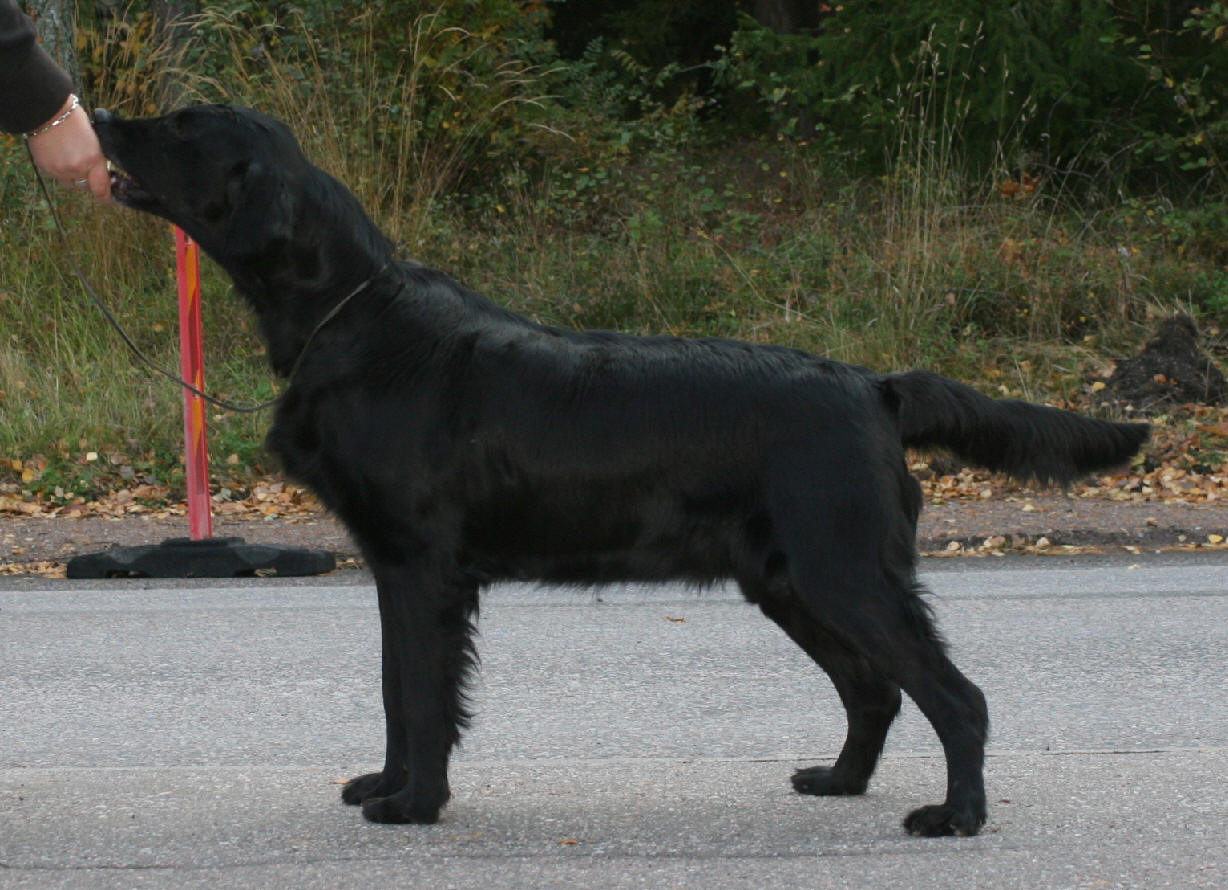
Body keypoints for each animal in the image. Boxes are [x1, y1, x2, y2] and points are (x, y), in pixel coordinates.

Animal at [95, 104, 1149, 834]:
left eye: (183, 124)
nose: (99, 115)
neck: (351, 315)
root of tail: (873, 383)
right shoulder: (396, 568)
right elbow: (397, 691)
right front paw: (387, 785)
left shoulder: (422, 566)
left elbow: (423, 697)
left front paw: (415, 804)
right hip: (790, 580)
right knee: (876, 690)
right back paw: (839, 780)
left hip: (842, 569)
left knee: (953, 696)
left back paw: (956, 816)